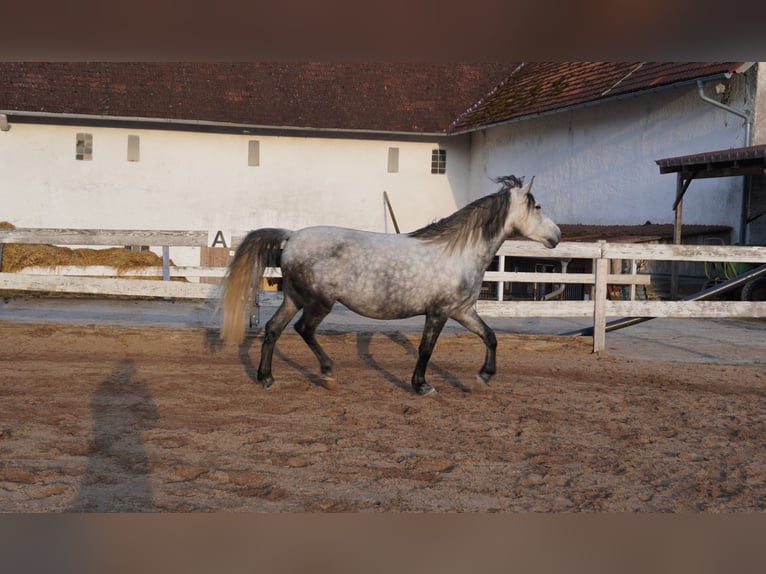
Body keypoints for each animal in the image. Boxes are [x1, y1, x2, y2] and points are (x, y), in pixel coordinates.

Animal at [220, 175, 561, 395]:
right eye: (538, 206)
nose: (556, 236)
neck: (457, 251)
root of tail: (291, 236)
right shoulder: (439, 312)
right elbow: (426, 349)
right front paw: (422, 385)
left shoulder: (462, 311)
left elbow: (490, 337)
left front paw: (483, 377)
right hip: (319, 303)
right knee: (303, 330)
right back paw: (328, 374)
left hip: (293, 298)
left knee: (273, 330)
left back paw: (267, 379)